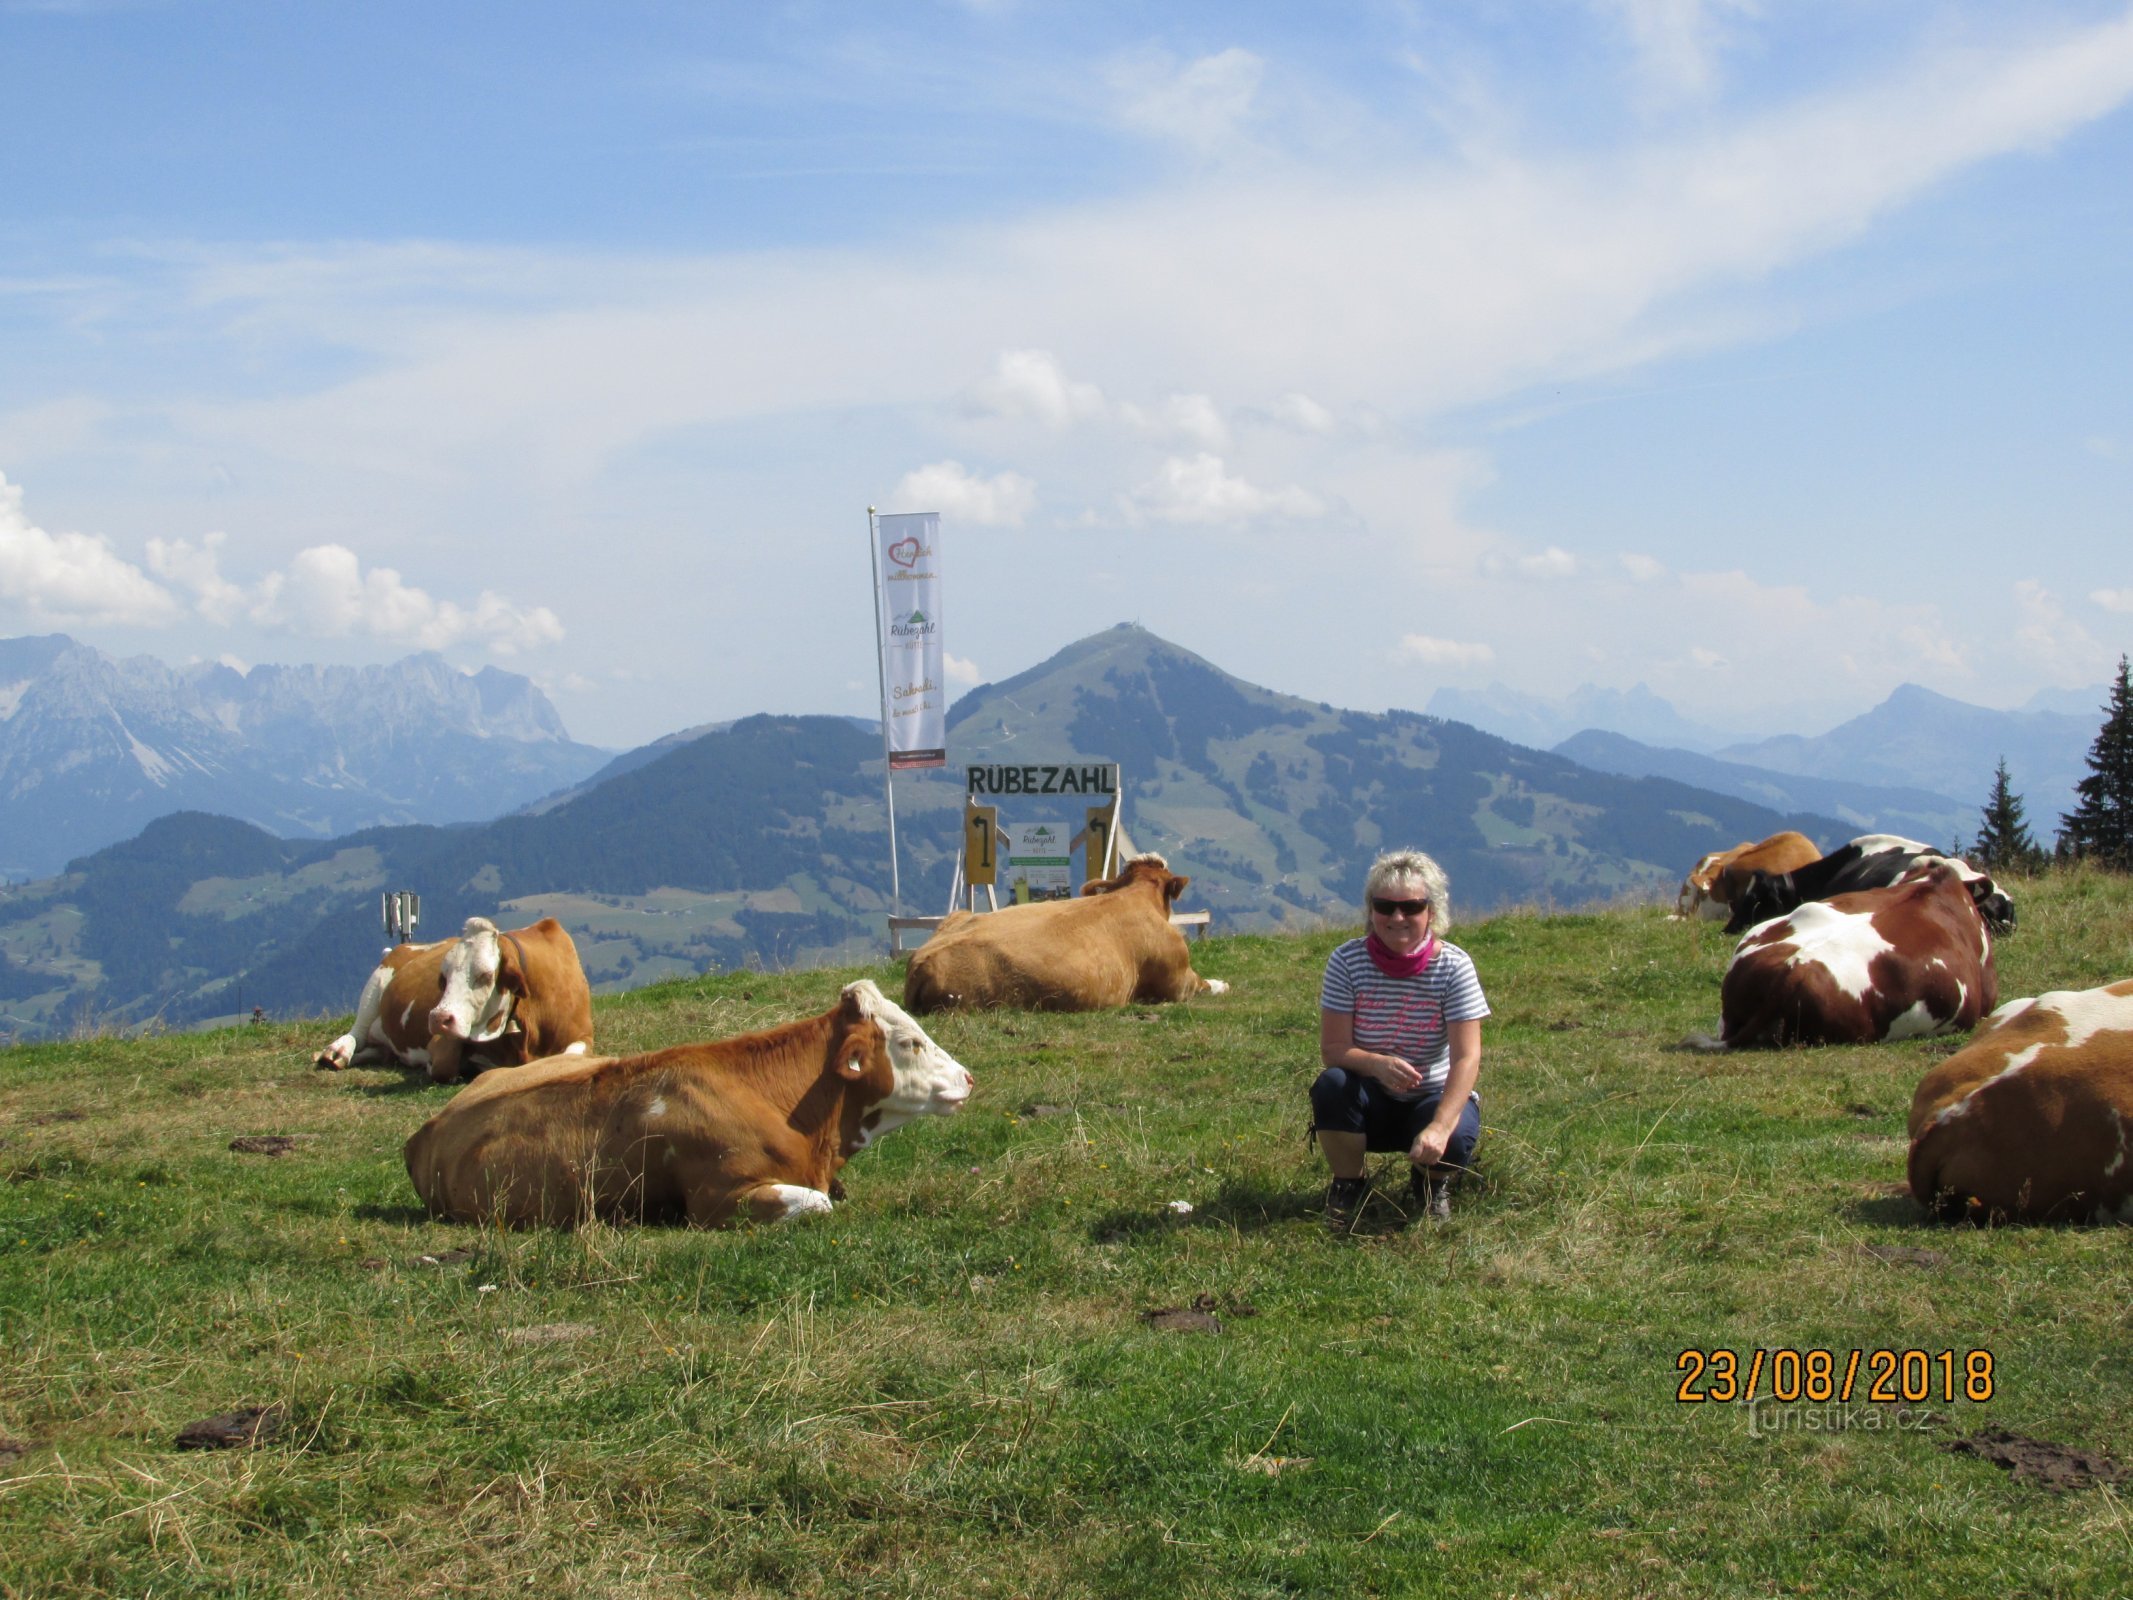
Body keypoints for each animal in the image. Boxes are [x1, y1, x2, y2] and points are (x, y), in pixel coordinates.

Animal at [311, 913, 592, 1092]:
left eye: (485, 975)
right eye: (443, 978)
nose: (438, 1018)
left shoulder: (584, 1036)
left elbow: (567, 1058)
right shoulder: (445, 1040)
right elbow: (446, 1066)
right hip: (379, 978)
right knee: (358, 1029)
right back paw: (336, 1052)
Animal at [904, 853, 1237, 1015]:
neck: (1136, 895)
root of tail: (923, 961)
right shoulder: (1178, 980)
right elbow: (1205, 985)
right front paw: (1223, 984)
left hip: (958, 915)